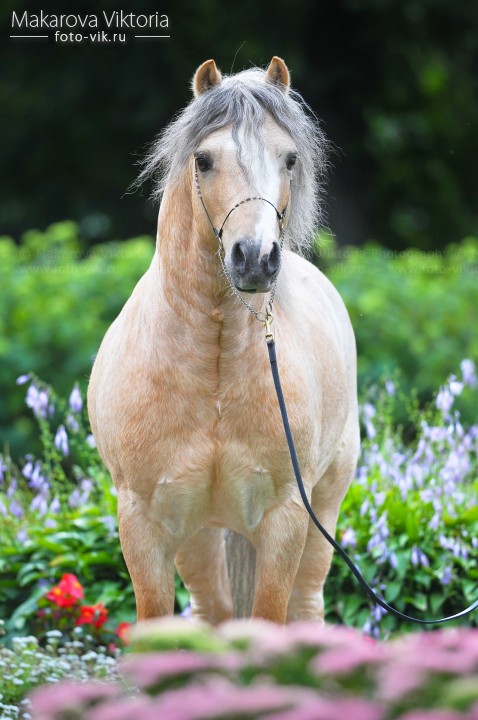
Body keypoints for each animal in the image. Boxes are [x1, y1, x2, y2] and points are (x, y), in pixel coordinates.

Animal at [88, 56, 360, 624]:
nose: (255, 258)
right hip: (199, 538)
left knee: (306, 609)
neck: (212, 362)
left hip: (322, 511)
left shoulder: (284, 520)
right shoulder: (145, 525)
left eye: (290, 158)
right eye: (205, 160)